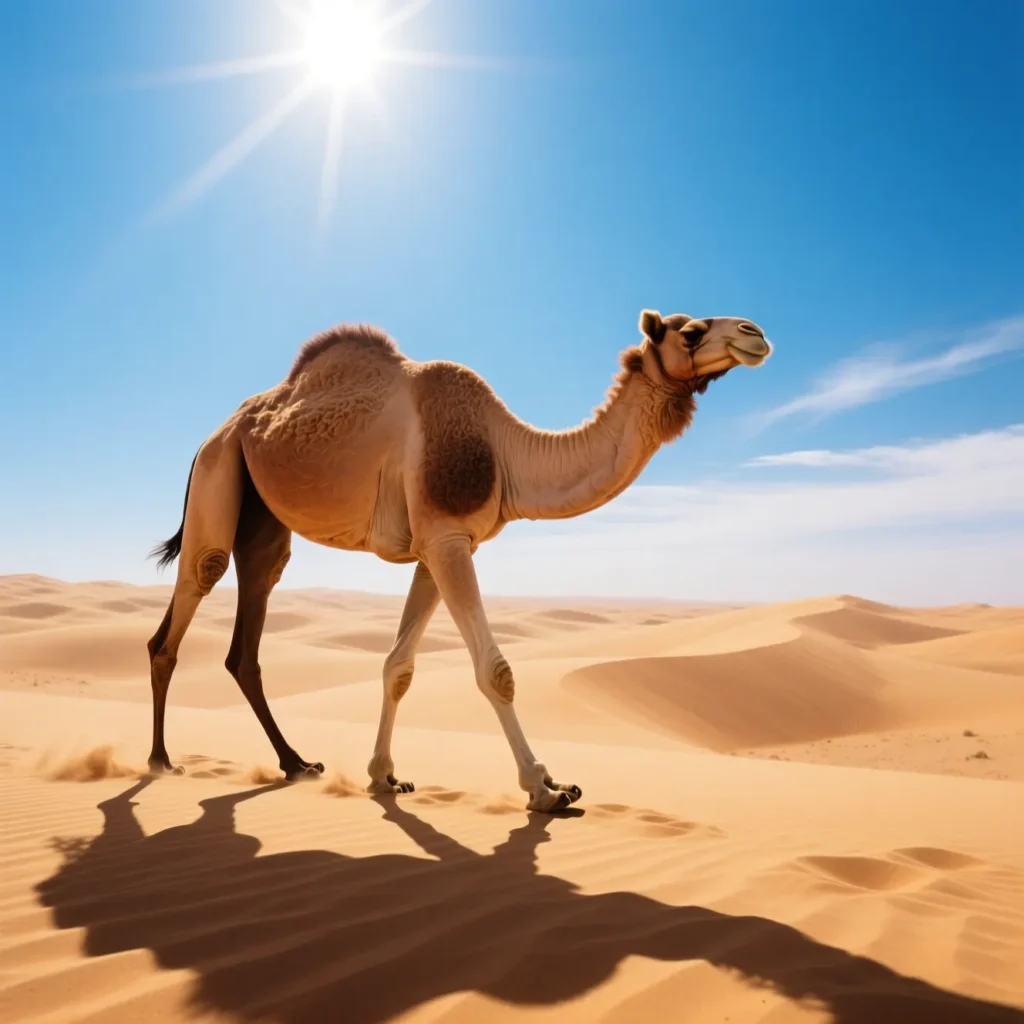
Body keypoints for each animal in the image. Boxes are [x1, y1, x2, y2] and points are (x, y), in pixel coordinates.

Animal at [146, 309, 771, 812]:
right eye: (690, 332)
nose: (756, 333)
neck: (504, 449)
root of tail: (215, 433)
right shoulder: (446, 539)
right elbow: (495, 671)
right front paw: (546, 789)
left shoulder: (438, 547)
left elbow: (398, 666)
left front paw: (384, 778)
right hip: (220, 470)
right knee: (195, 586)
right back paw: (159, 761)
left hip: (262, 511)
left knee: (251, 617)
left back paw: (296, 763)